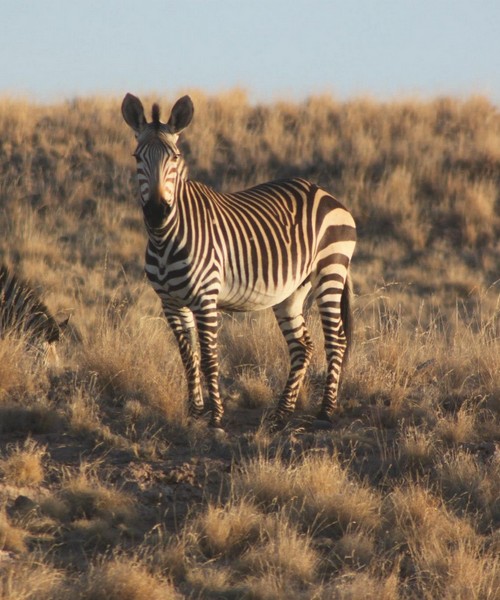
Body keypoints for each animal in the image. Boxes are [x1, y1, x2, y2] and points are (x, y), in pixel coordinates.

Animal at [121, 94, 356, 428]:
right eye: (137, 158)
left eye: (175, 158)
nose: (156, 212)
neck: (164, 239)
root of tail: (324, 192)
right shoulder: (171, 303)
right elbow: (188, 357)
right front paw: (195, 413)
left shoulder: (205, 299)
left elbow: (209, 357)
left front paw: (215, 417)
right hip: (292, 290)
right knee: (302, 346)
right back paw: (281, 413)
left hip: (330, 270)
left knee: (336, 340)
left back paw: (325, 411)